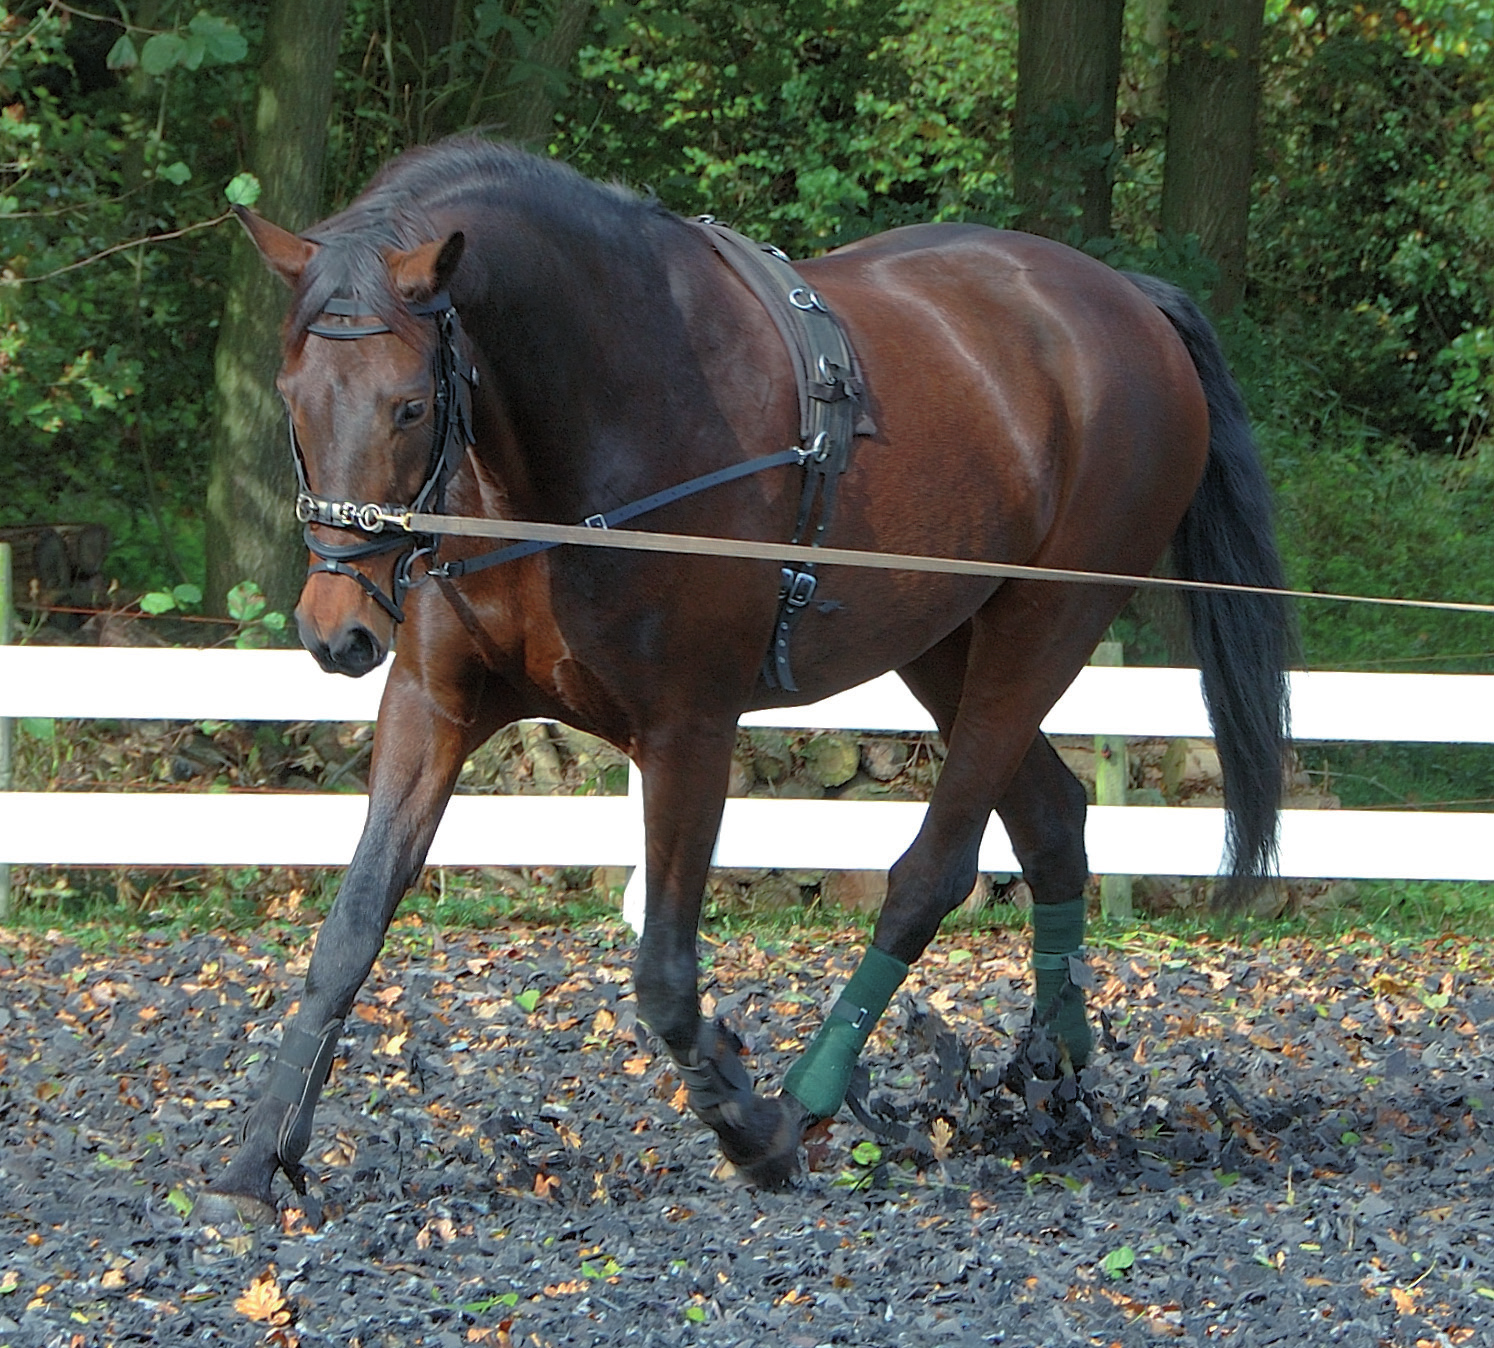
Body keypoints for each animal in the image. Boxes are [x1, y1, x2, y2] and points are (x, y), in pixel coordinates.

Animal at [204, 139, 1290, 1225]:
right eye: (292, 394)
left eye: (411, 405)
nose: (335, 630)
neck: (580, 426)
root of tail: (1129, 301)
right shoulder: (433, 706)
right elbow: (351, 929)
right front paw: (256, 1159)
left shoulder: (689, 728)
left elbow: (663, 973)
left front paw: (746, 1125)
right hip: (944, 642)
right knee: (1055, 822)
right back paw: (1056, 1085)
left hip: (1041, 630)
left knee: (932, 873)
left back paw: (810, 1103)